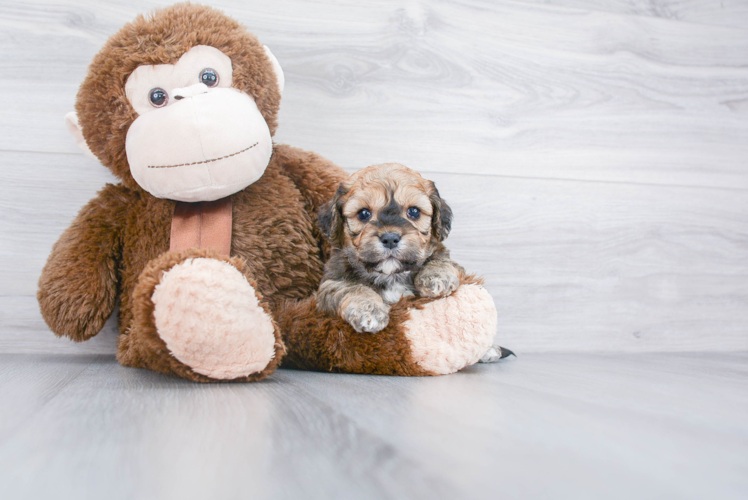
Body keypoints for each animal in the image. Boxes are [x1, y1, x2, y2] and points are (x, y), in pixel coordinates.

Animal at [318, 164, 468, 334]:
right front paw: (369, 310)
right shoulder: (330, 282)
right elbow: (350, 288)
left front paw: (435, 276)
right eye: (363, 213)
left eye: (414, 211)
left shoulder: (443, 254)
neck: (391, 276)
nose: (390, 239)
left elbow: (442, 261)